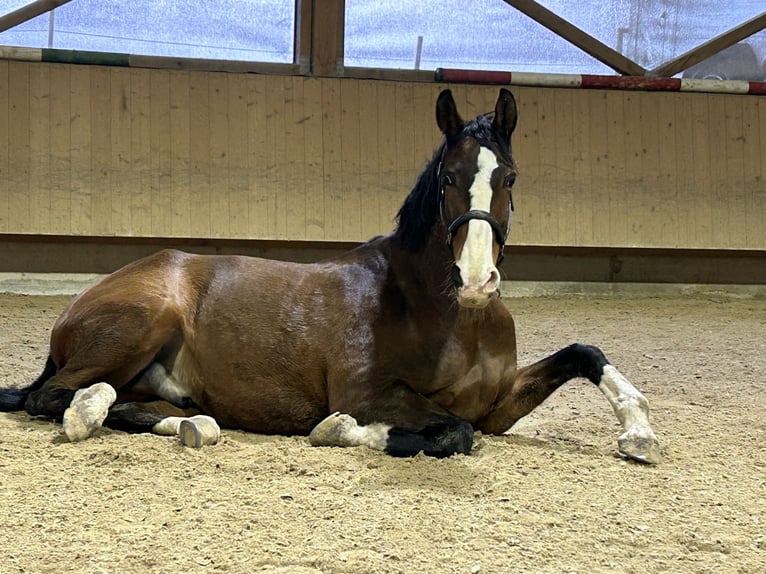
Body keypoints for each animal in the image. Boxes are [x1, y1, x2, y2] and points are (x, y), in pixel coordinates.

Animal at [0, 91, 660, 464]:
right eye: (447, 177)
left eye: (510, 177)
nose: (475, 280)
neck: (450, 316)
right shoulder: (370, 394)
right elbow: (453, 433)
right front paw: (340, 433)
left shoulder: (498, 403)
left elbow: (582, 352)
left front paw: (639, 434)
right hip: (143, 320)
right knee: (52, 397)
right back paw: (93, 411)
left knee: (129, 404)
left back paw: (191, 423)